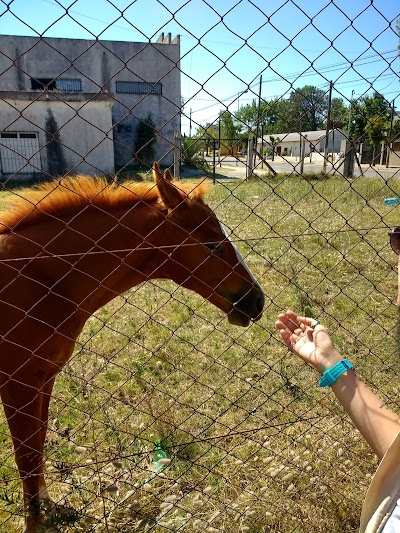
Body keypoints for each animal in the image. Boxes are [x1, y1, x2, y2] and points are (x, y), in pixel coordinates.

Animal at [0, 164, 266, 528]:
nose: (257, 301)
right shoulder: (18, 385)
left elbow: (37, 446)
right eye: (213, 245)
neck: (41, 280)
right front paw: (35, 524)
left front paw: (46, 507)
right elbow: (26, 457)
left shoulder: (44, 379)